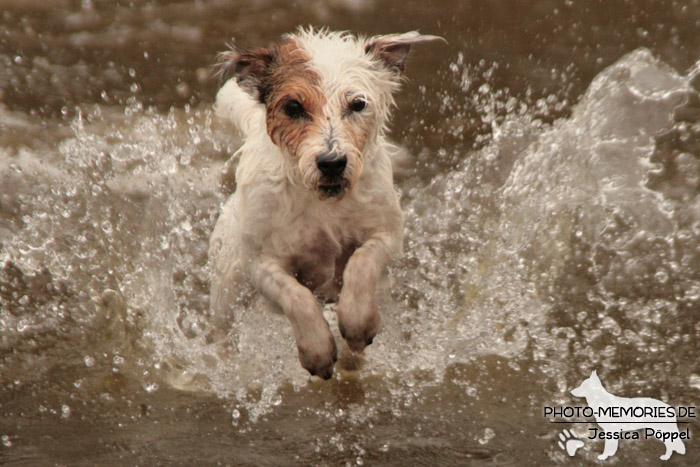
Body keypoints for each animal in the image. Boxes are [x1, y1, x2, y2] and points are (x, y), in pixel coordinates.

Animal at [206, 28, 442, 380]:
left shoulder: (386, 234)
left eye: (357, 104)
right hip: (228, 292)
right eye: (293, 106)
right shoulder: (259, 263)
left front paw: (357, 323)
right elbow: (296, 295)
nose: (332, 163)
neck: (321, 204)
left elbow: (361, 262)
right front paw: (317, 350)